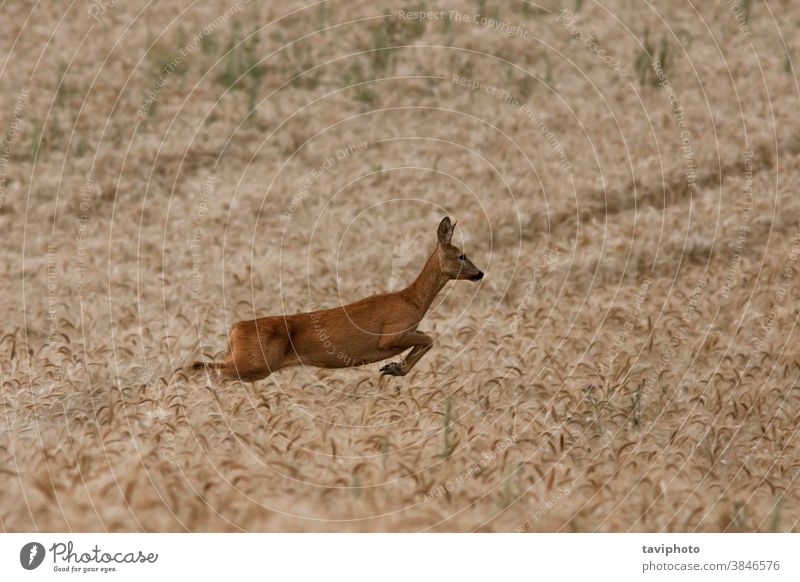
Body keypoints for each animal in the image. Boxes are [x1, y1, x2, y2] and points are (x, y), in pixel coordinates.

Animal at [191, 219, 484, 384]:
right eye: (461, 255)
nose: (479, 273)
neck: (412, 300)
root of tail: (234, 329)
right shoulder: (391, 334)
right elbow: (430, 338)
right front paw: (394, 368)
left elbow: (426, 338)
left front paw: (394, 368)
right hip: (255, 363)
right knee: (206, 369)